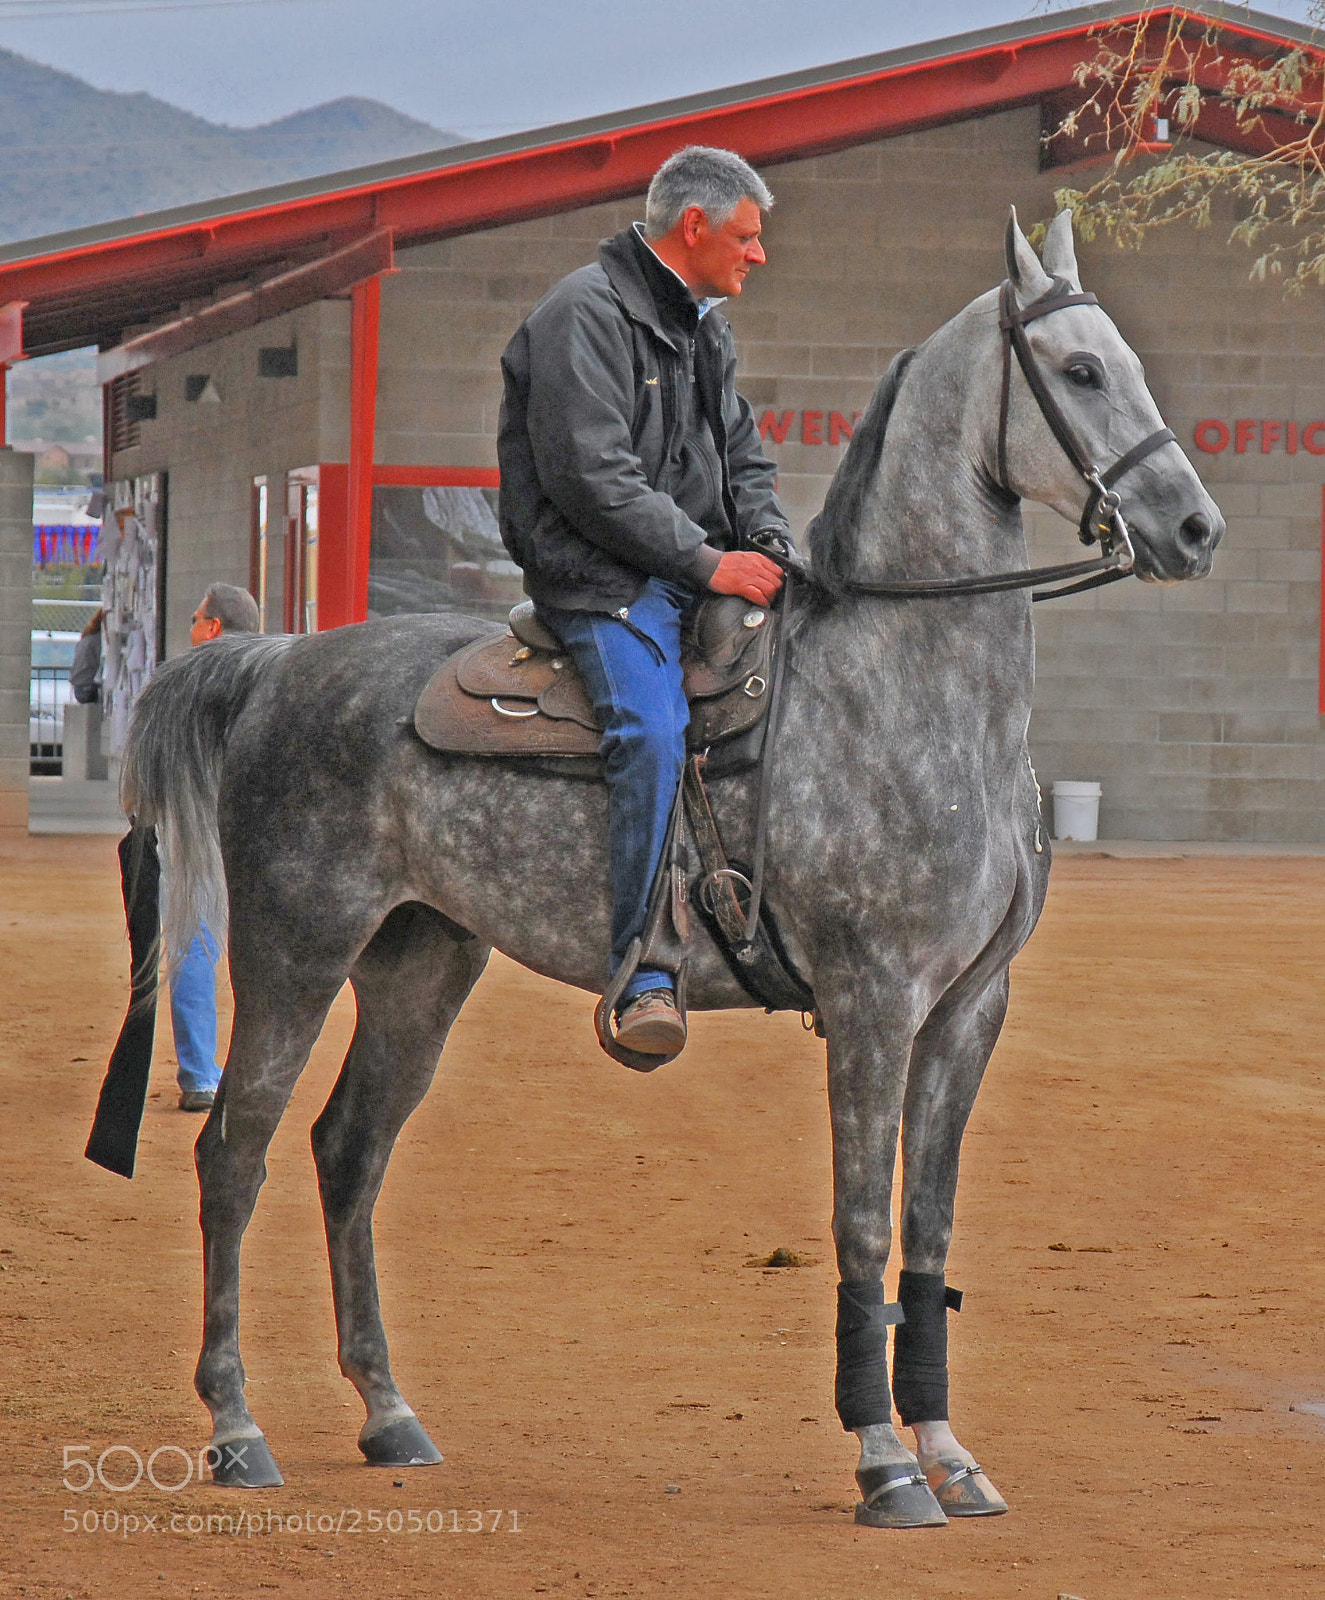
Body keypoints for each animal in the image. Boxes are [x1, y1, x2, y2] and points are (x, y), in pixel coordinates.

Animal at [119, 210, 1222, 1526]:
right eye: (1080, 370)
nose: (1193, 528)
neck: (911, 692)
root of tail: (274, 660)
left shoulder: (966, 1009)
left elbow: (928, 1226)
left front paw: (948, 1449)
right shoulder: (873, 1002)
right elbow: (861, 1224)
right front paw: (883, 1459)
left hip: (420, 965)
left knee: (348, 1150)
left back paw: (389, 1414)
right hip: (295, 949)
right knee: (233, 1152)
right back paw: (237, 1427)